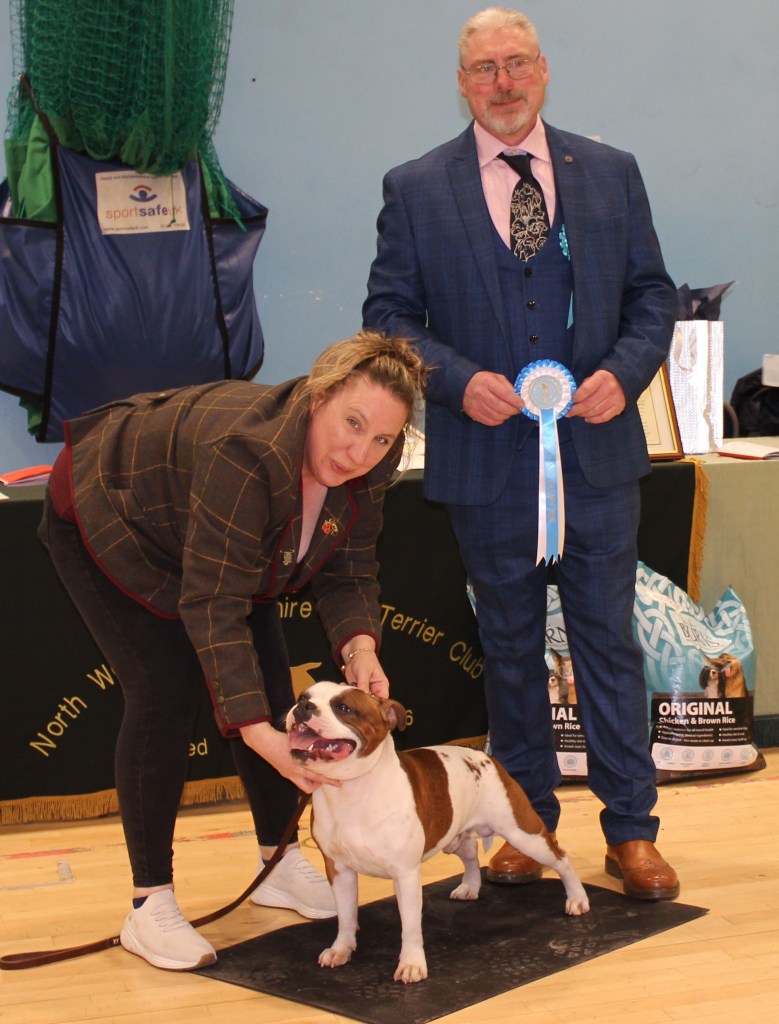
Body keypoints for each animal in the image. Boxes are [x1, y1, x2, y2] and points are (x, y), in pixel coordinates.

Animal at [286, 681, 590, 984]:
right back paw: (470, 886)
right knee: (471, 852)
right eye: (303, 697)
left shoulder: (405, 874)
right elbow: (346, 917)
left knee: (560, 857)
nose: (303, 707)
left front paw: (411, 964)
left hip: (523, 832)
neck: (351, 791)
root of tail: (486, 756)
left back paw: (577, 899)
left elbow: (409, 925)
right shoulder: (339, 870)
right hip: (454, 837)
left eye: (343, 708)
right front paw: (341, 949)